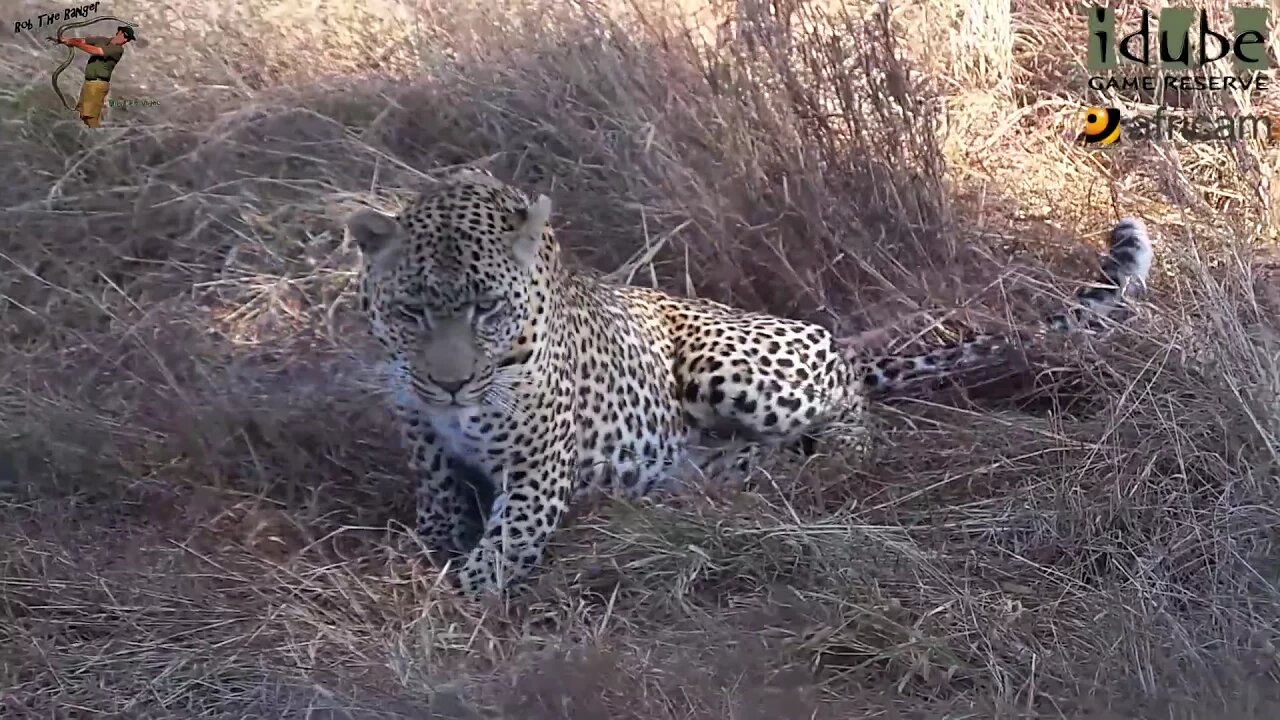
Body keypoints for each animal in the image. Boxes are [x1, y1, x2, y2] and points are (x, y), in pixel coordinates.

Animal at [343, 166, 1162, 594]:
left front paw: (448, 594)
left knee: (852, 403)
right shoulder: (419, 429)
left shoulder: (539, 465)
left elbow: (504, 542)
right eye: (412, 311)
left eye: (486, 308)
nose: (450, 383)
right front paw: (429, 550)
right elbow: (437, 499)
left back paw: (823, 460)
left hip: (730, 365)